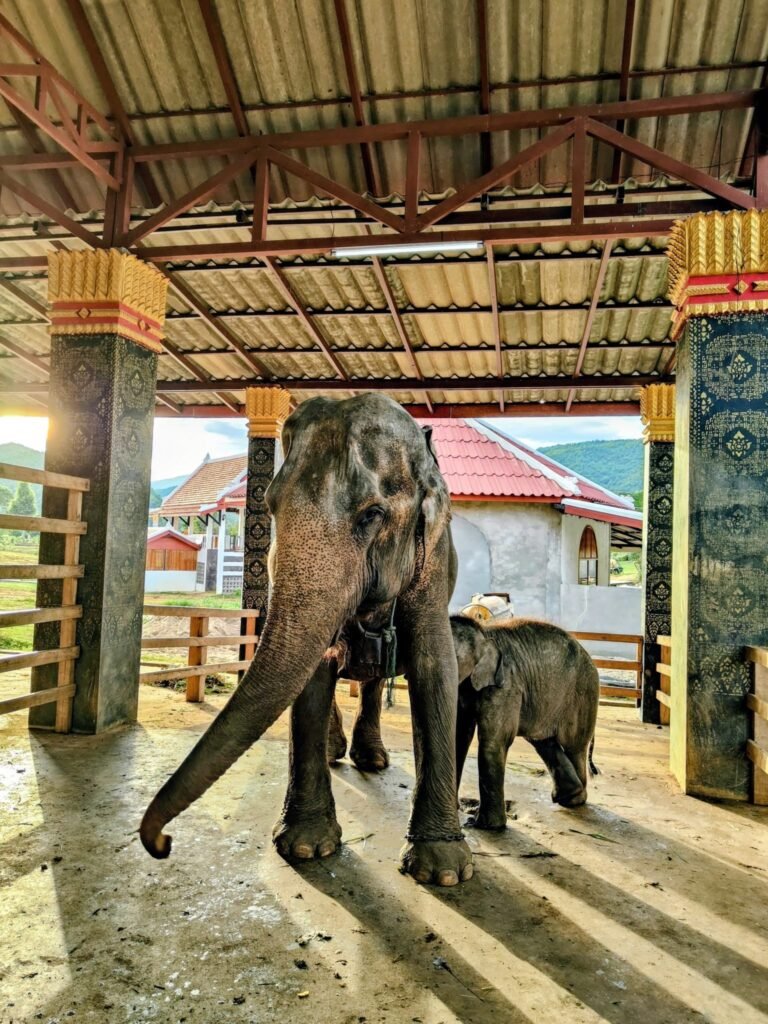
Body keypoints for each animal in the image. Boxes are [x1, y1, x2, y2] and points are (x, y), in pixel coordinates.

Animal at [140, 394, 473, 887]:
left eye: (372, 515)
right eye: (272, 507)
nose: (161, 843)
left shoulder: (434, 561)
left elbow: (436, 665)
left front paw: (444, 871)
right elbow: (315, 674)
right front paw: (305, 848)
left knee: (374, 683)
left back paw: (372, 761)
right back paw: (338, 752)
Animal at [451, 615, 599, 830]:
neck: (484, 632)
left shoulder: (506, 686)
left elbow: (494, 741)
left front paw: (483, 825)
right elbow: (459, 735)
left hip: (583, 694)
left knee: (574, 746)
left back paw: (574, 801)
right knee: (544, 742)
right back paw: (568, 795)